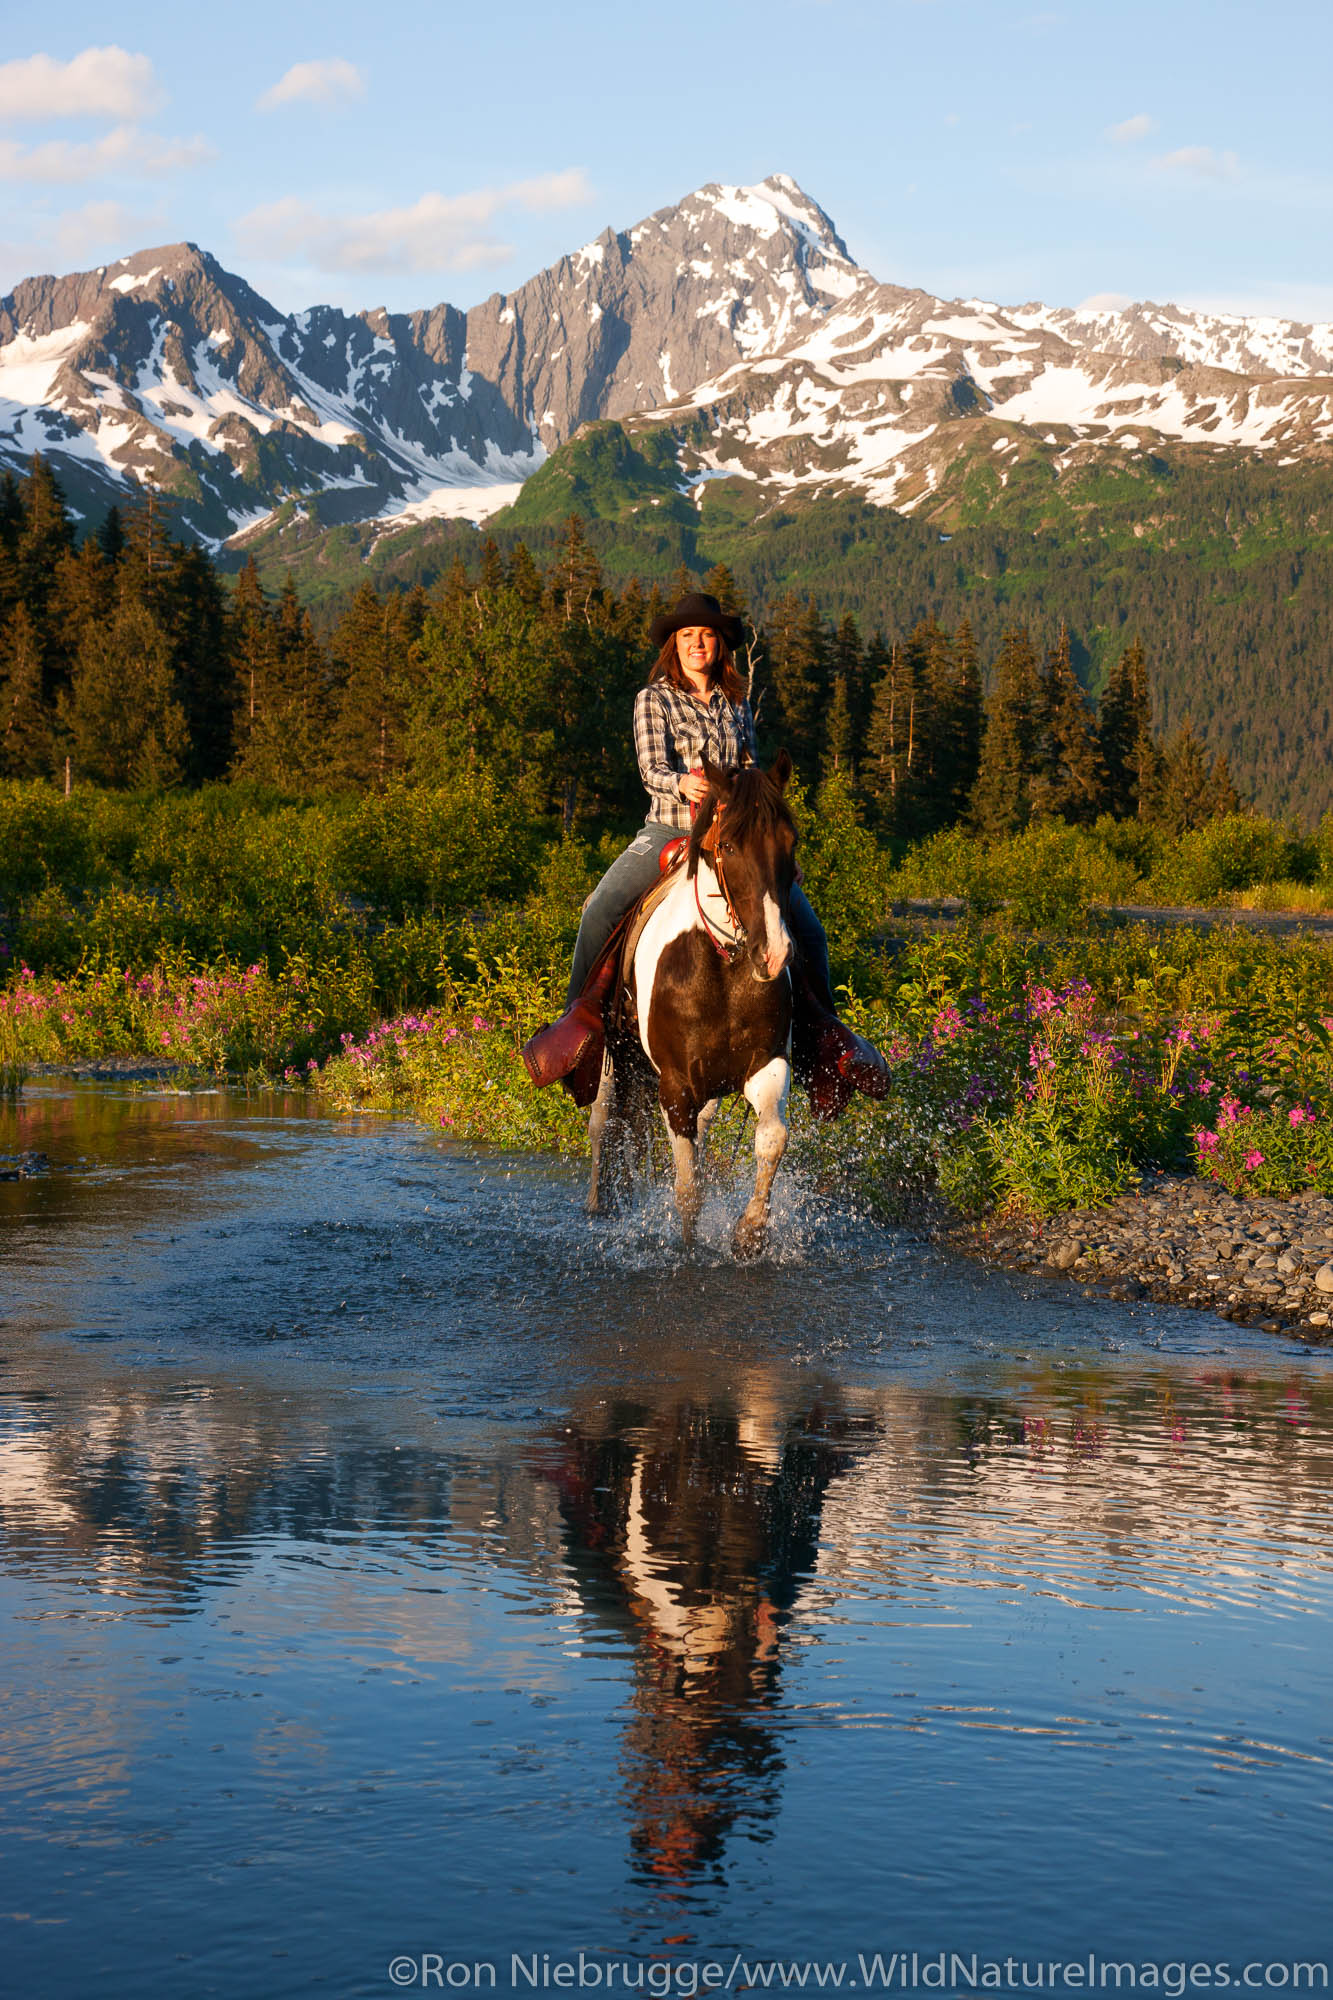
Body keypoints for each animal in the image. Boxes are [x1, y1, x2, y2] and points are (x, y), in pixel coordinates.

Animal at [588, 756, 792, 1256]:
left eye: (791, 843)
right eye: (730, 846)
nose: (773, 954)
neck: (721, 963)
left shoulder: (766, 1065)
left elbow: (771, 1140)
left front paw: (750, 1232)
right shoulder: (675, 1085)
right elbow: (688, 1188)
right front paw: (687, 1248)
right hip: (612, 1058)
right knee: (602, 1122)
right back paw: (598, 1202)